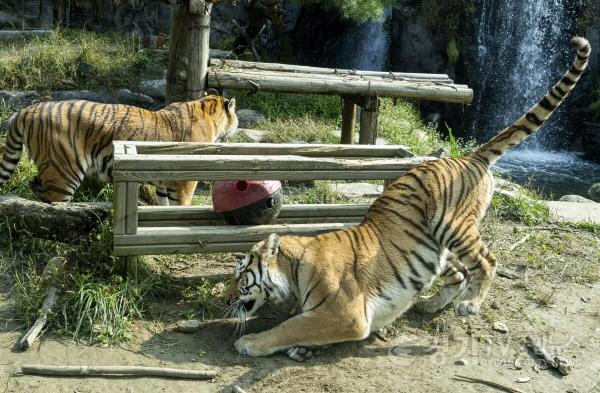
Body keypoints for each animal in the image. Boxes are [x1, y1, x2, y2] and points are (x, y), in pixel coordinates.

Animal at [0, 94, 239, 205]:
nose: (237, 123)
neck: (206, 109)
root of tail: (27, 110)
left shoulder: (165, 183)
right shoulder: (185, 182)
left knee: (34, 184)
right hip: (63, 172)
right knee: (52, 204)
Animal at [226, 37, 592, 362]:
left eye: (241, 276)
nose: (227, 301)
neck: (293, 268)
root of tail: (469, 156)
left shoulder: (346, 313)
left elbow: (290, 327)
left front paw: (251, 342)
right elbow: (301, 328)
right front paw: (301, 349)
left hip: (452, 226)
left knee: (486, 261)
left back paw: (470, 303)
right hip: (434, 248)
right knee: (459, 274)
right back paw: (430, 303)